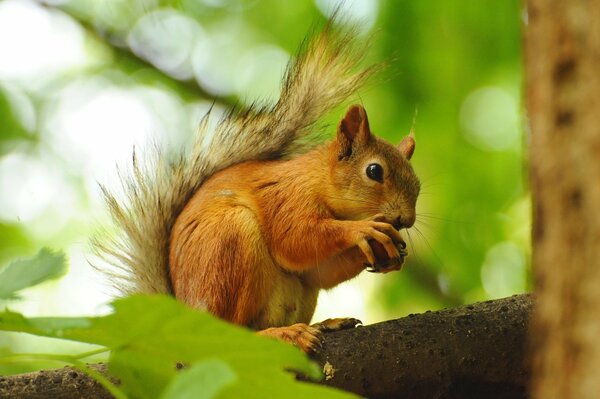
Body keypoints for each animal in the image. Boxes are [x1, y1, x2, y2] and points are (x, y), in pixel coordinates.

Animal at [95, 16, 422, 354]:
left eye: (418, 184)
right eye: (374, 171)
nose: (406, 219)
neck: (318, 180)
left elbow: (318, 272)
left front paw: (389, 251)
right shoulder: (286, 198)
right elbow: (295, 239)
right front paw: (363, 230)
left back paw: (324, 324)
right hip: (230, 246)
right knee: (233, 332)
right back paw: (284, 334)